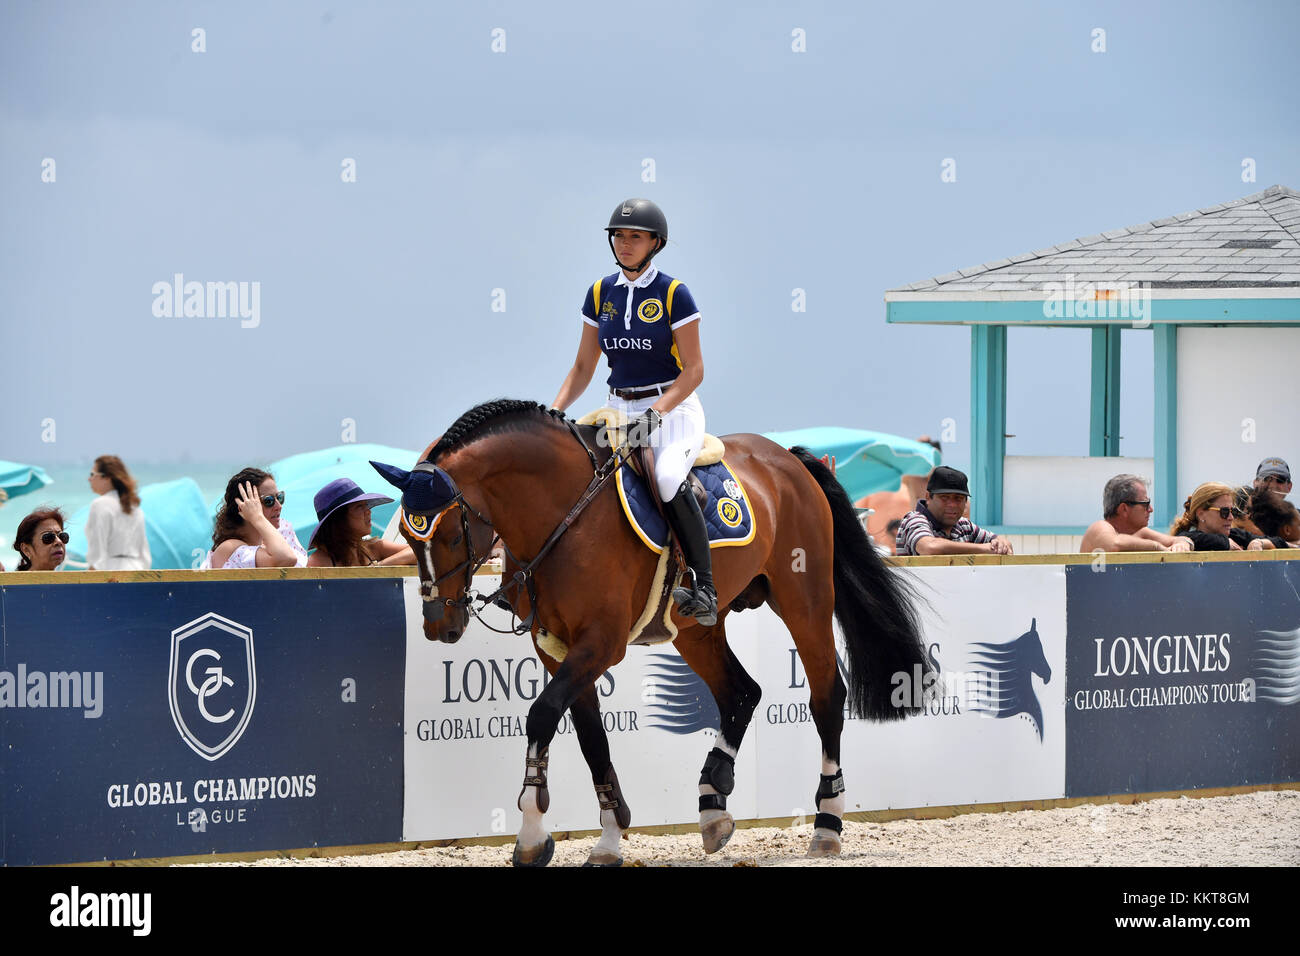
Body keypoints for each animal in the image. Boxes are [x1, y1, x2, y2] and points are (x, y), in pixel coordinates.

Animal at [377, 398, 935, 868]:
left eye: (451, 535)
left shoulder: (601, 643)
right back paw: (714, 804)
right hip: (695, 629)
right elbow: (591, 738)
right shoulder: (557, 649)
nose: (439, 626)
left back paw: (826, 823)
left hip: (805, 600)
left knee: (825, 697)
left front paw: (533, 833)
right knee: (741, 692)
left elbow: (541, 717)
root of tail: (790, 460)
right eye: (406, 534)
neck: (561, 513)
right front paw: (607, 838)